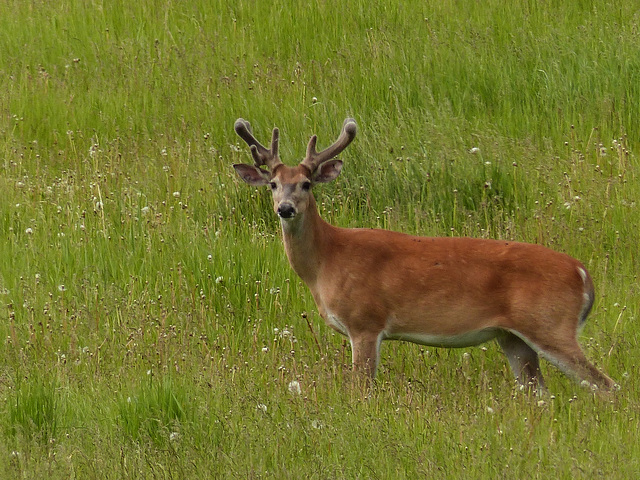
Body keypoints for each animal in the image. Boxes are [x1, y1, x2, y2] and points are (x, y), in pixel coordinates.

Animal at [231, 117, 616, 394]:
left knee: (606, 385)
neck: (328, 260)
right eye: (273, 184)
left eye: (307, 184)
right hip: (514, 337)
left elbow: (361, 390)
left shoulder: (365, 321)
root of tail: (582, 272)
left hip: (550, 324)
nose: (285, 209)